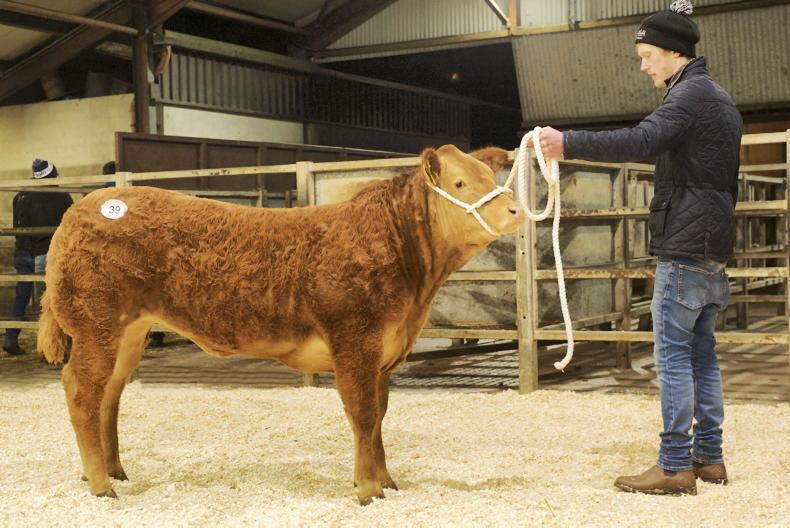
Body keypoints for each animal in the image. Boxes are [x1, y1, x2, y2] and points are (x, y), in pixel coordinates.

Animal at [38, 144, 523, 505]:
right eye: (460, 183)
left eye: (490, 177)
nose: (515, 211)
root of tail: (79, 210)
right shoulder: (355, 341)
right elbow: (363, 414)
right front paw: (368, 490)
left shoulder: (384, 353)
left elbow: (379, 417)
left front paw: (386, 480)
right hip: (96, 324)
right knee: (81, 389)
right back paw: (101, 485)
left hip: (128, 332)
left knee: (108, 394)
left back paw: (112, 471)